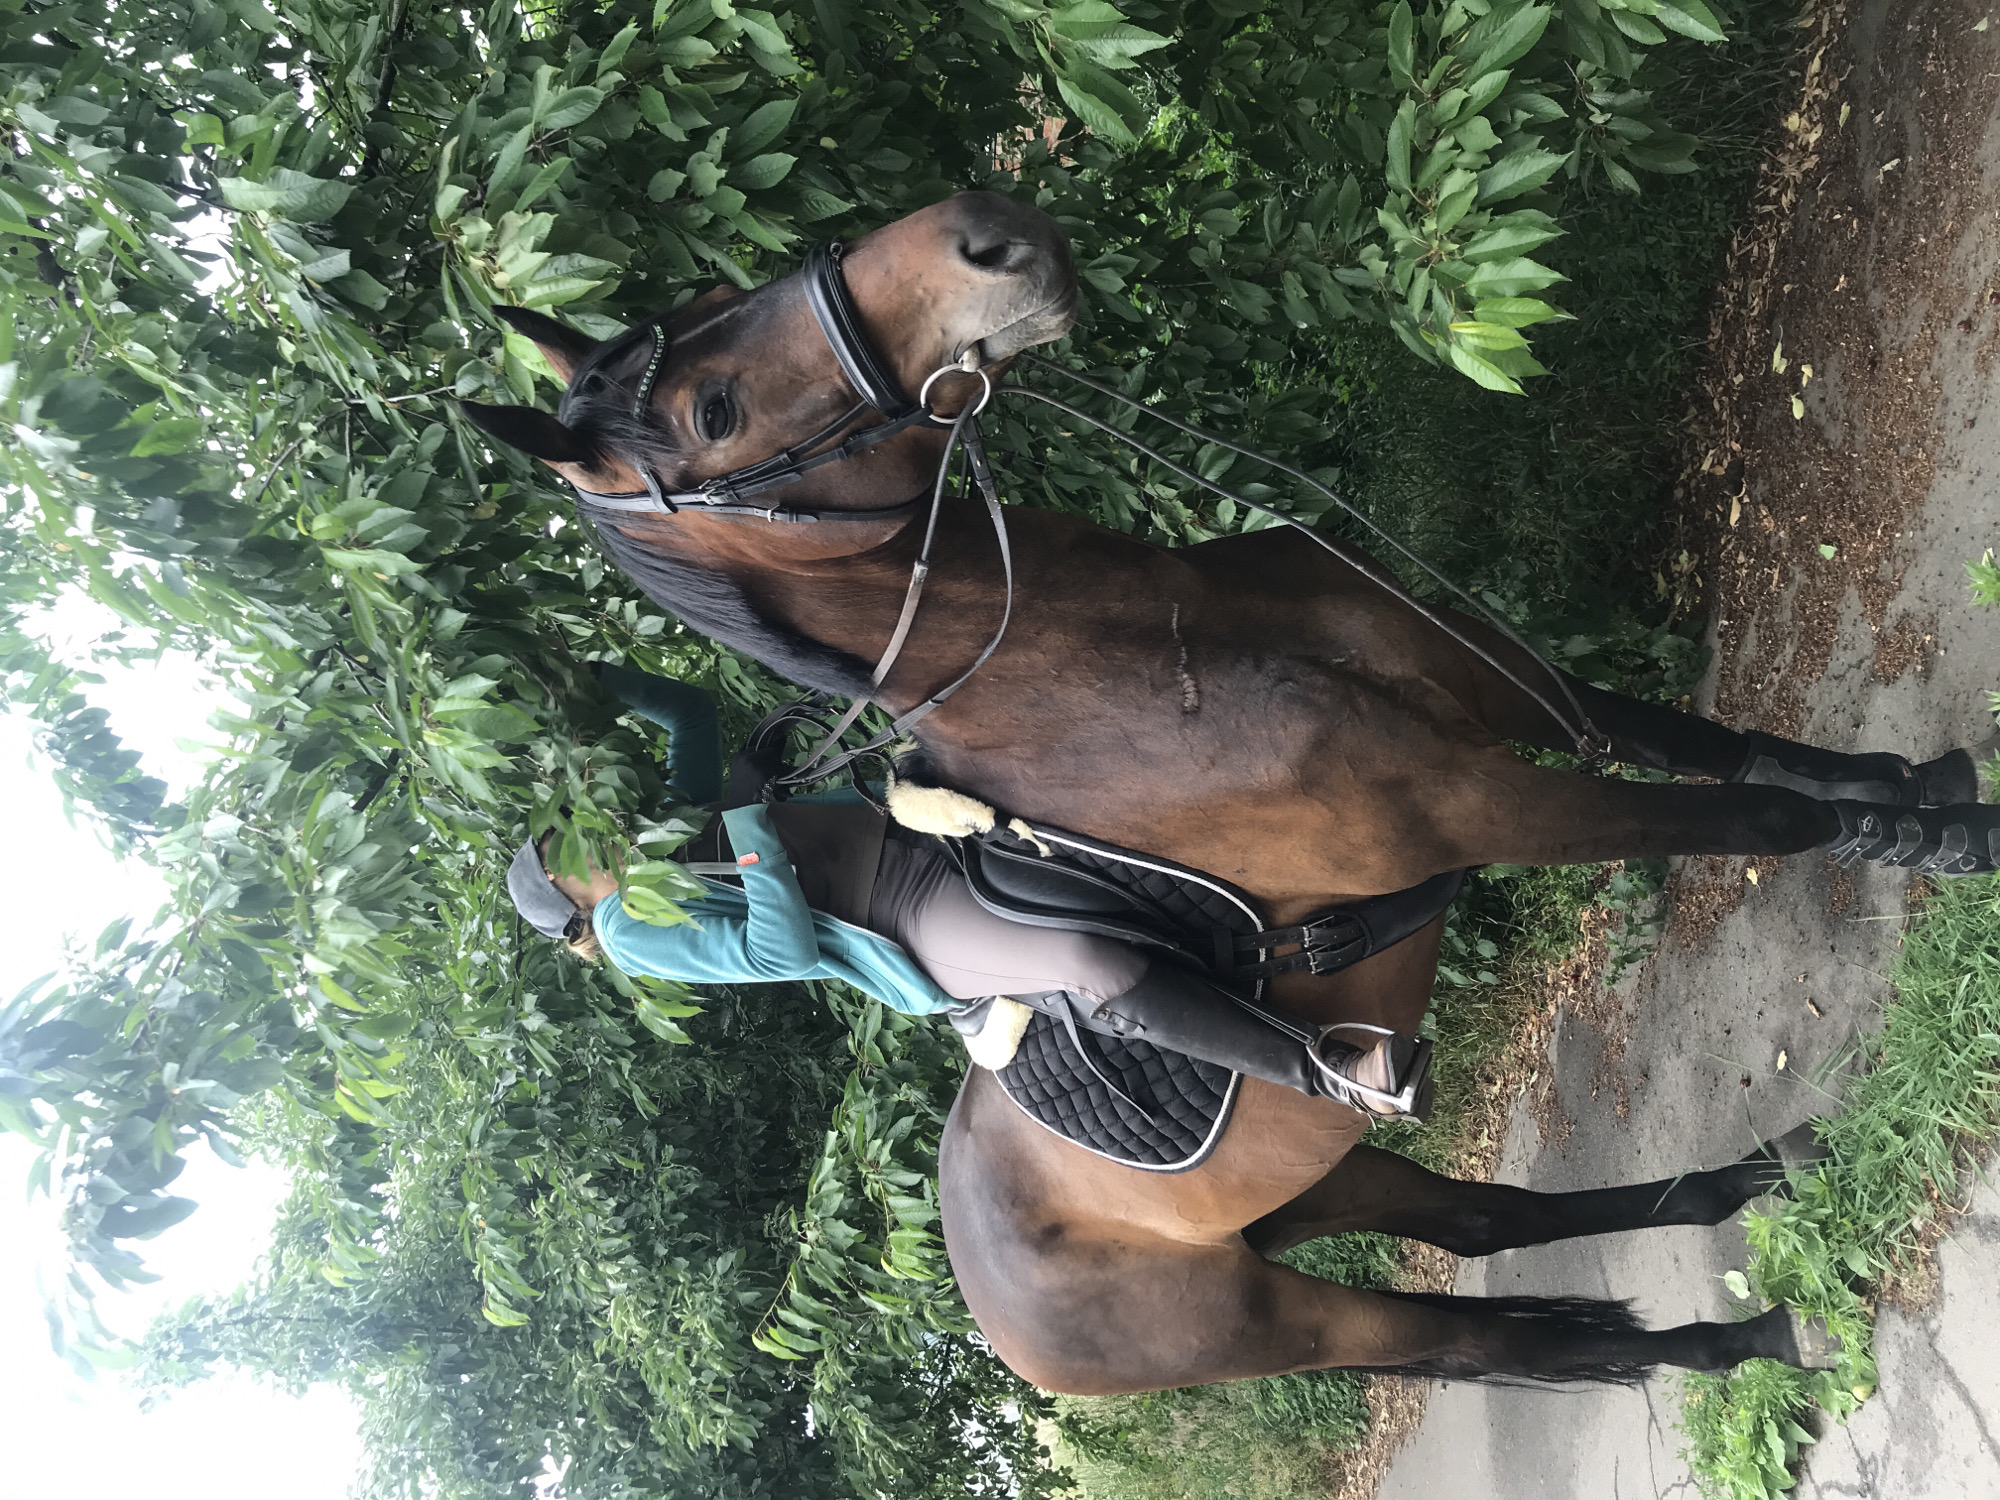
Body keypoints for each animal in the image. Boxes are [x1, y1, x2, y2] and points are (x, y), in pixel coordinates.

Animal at [462, 191, 1987, 1391]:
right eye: (710, 409)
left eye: (707, 303)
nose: (989, 233)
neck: (1149, 654)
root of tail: (991, 1308)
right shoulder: (1478, 798)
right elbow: (1751, 818)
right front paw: (1938, 838)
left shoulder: (1488, 688)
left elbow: (1708, 744)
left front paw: (1921, 791)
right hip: (1264, 1312)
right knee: (1478, 1338)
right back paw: (1738, 1341)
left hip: (1310, 1177)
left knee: (1478, 1228)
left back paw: (1751, 1183)